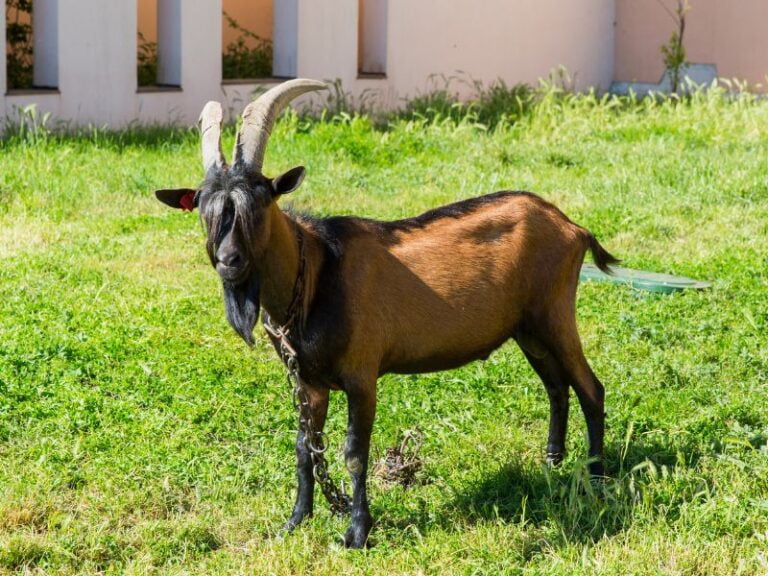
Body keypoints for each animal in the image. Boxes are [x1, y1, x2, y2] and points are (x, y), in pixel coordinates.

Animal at [155, 79, 618, 548]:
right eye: (207, 210)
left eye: (260, 202)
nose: (228, 261)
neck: (318, 272)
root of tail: (573, 227)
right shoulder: (309, 382)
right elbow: (304, 449)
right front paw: (295, 521)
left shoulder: (362, 376)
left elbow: (355, 454)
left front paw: (357, 531)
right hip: (528, 329)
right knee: (556, 387)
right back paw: (552, 463)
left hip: (555, 314)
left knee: (589, 388)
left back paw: (596, 477)